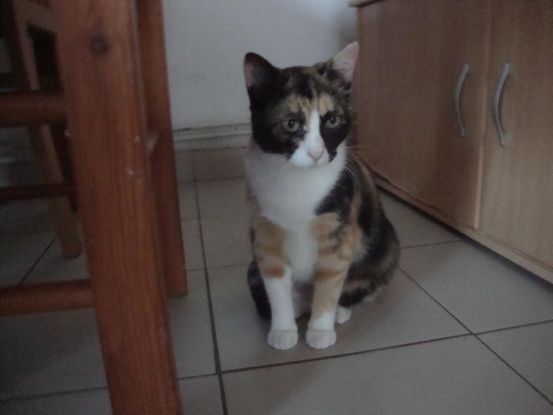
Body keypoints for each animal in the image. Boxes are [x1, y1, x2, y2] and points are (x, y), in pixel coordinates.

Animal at [243, 42, 399, 350]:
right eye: (292, 123)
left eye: (332, 120)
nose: (316, 153)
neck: (298, 182)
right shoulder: (265, 235)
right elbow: (276, 285)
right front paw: (283, 330)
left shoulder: (338, 233)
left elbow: (330, 281)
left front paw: (320, 330)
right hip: (252, 267)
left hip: (386, 246)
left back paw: (340, 309)